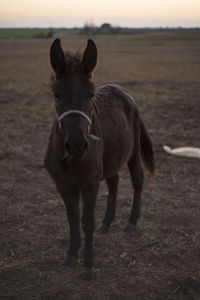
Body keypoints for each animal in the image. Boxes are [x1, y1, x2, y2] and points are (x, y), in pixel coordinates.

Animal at [44, 38, 155, 280]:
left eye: (90, 95)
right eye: (56, 94)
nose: (77, 145)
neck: (71, 160)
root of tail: (122, 91)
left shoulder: (90, 184)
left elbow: (86, 221)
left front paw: (88, 263)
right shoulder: (63, 185)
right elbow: (72, 219)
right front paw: (72, 253)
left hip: (132, 153)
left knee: (138, 180)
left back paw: (132, 221)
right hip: (111, 159)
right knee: (114, 182)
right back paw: (107, 222)